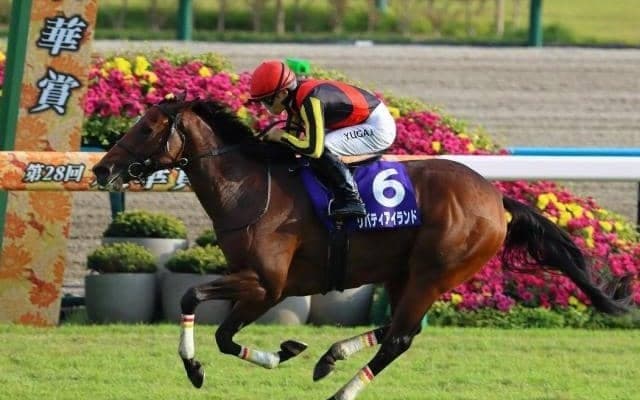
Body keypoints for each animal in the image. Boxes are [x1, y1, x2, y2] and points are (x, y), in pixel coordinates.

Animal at [93, 97, 628, 400]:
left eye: (145, 128)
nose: (101, 169)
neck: (248, 187)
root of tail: (498, 200)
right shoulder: (264, 289)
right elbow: (225, 336)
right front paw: (284, 351)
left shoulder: (266, 282)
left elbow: (190, 299)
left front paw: (195, 368)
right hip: (403, 272)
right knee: (397, 328)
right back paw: (329, 357)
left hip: (435, 271)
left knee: (400, 338)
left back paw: (341, 390)